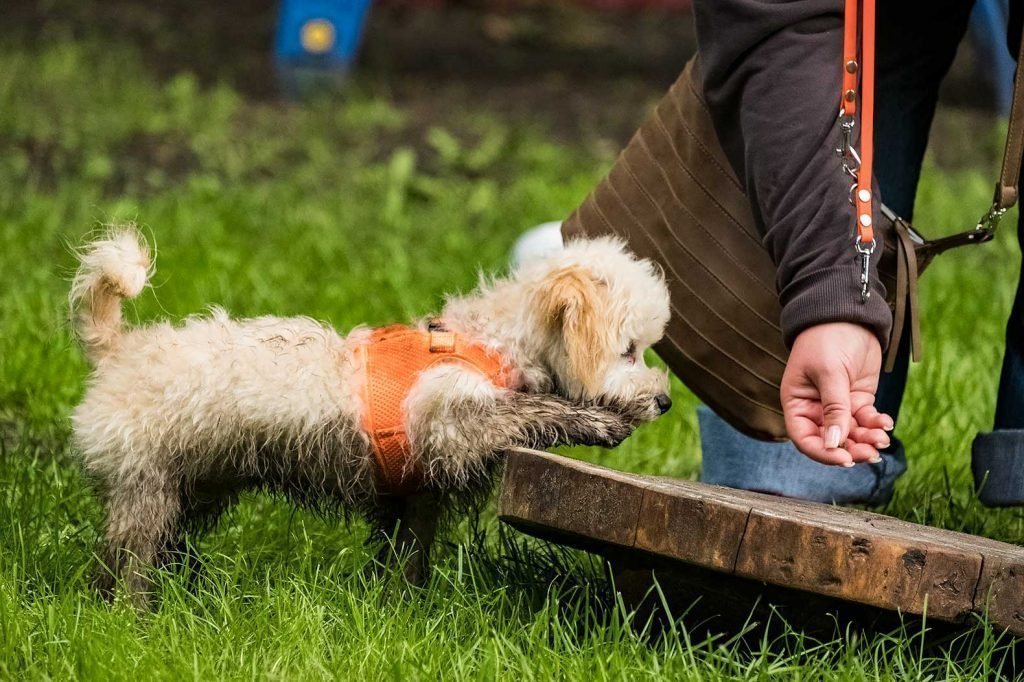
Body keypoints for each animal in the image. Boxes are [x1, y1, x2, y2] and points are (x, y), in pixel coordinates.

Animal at [70, 225, 671, 602]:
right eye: (629, 350)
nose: (664, 401)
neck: (490, 343)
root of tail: (117, 348)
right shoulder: (452, 426)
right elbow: (530, 410)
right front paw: (596, 421)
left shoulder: (418, 493)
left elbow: (409, 557)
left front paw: (404, 606)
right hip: (146, 489)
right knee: (127, 563)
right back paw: (134, 616)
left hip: (191, 488)